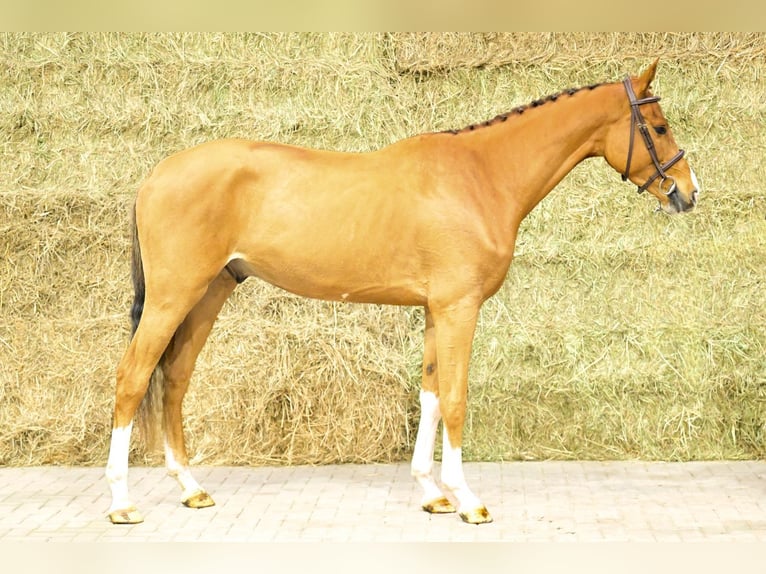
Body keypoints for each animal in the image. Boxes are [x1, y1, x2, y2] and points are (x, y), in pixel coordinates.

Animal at [105, 59, 699, 525]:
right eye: (659, 126)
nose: (689, 194)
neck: (481, 177)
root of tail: (155, 175)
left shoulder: (437, 310)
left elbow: (430, 395)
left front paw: (432, 493)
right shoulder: (459, 309)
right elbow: (456, 398)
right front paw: (467, 499)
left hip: (209, 295)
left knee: (174, 378)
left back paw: (191, 489)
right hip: (171, 298)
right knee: (133, 378)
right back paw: (121, 503)